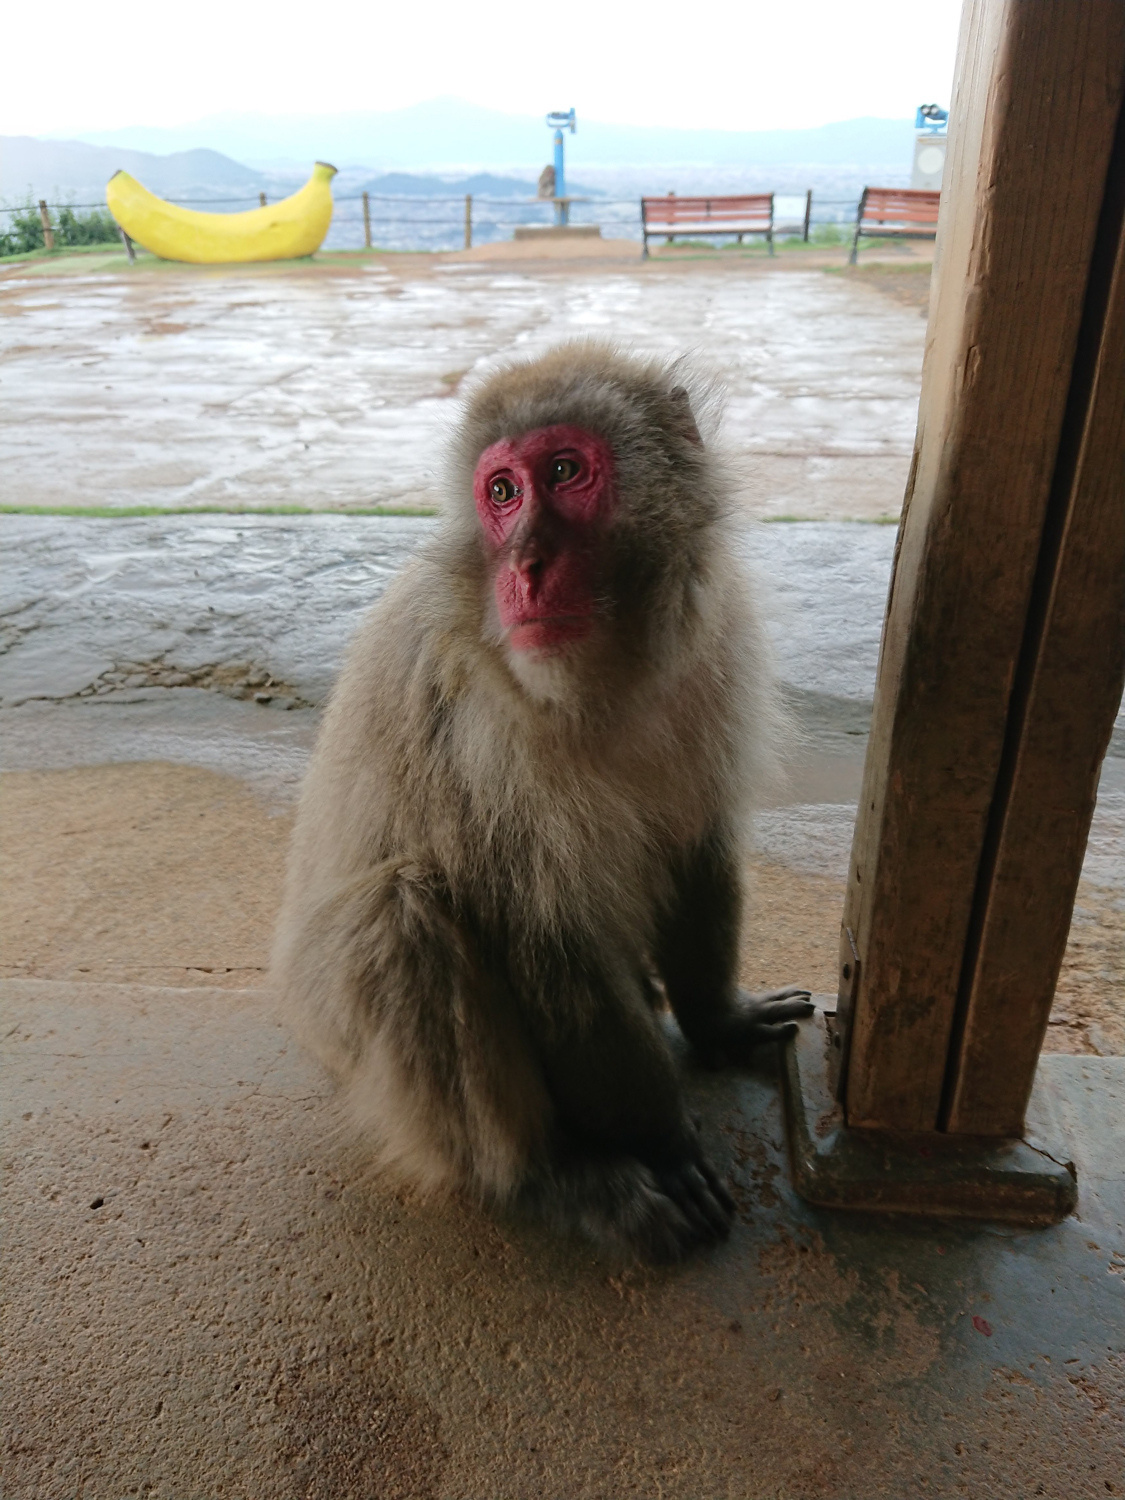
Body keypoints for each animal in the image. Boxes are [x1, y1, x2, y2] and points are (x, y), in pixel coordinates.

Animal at [271, 343, 813, 1262]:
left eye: (562, 472)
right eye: (501, 493)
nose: (524, 566)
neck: (604, 681)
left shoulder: (714, 650)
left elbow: (695, 844)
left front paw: (717, 1020)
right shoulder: (475, 729)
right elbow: (543, 937)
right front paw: (660, 1146)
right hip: (336, 1031)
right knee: (400, 913)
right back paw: (548, 1181)